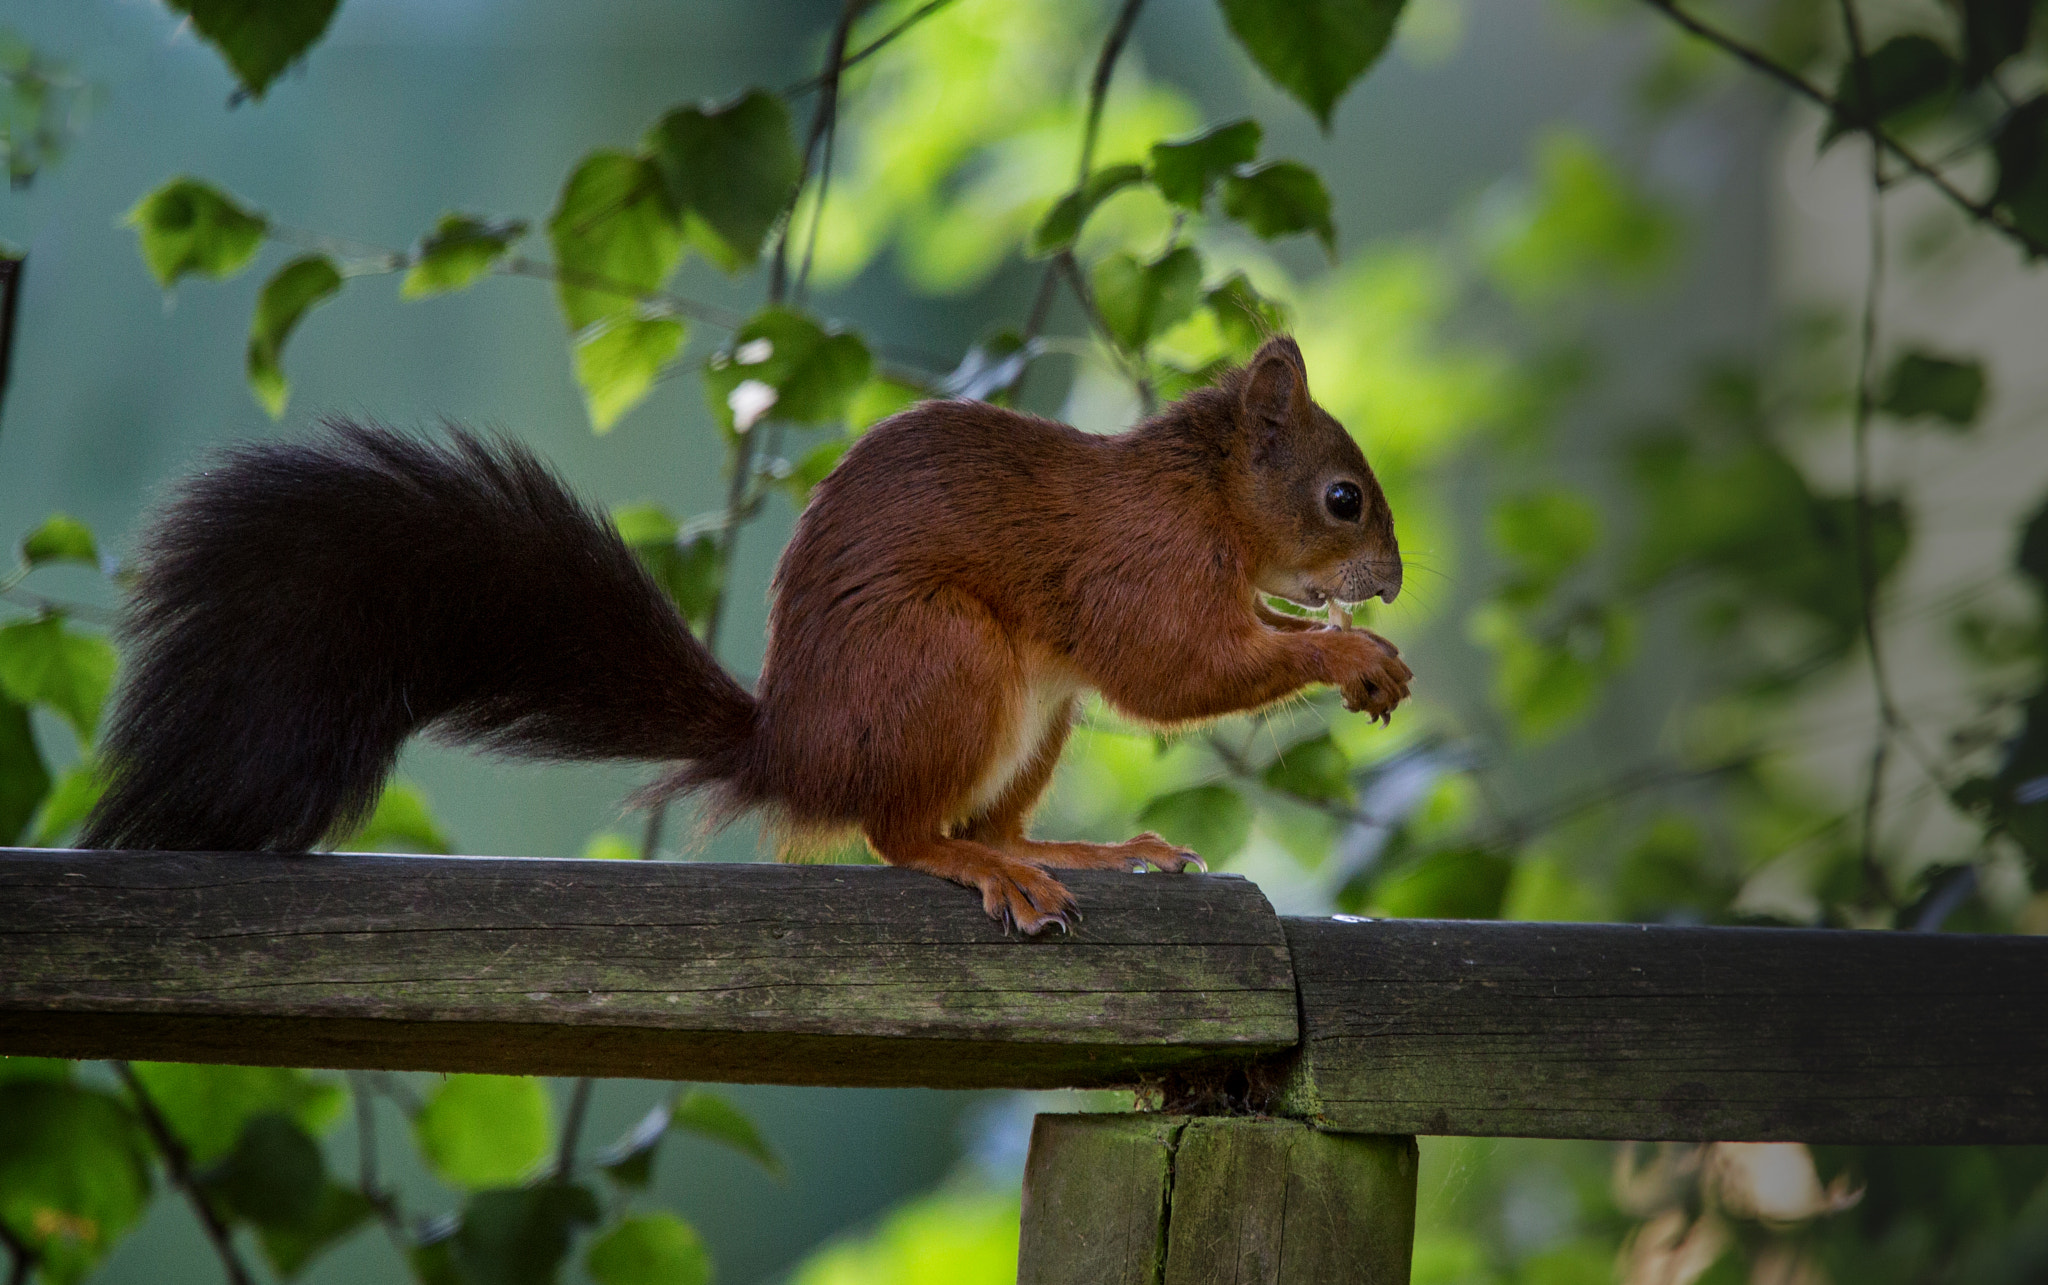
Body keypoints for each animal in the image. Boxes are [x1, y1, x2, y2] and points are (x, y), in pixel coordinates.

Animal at [88, 336, 1417, 930]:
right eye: (1342, 497)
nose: (1393, 586)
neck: (1201, 493)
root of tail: (793, 748)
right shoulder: (1139, 568)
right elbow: (1172, 670)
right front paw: (1345, 654)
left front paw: (1363, 652)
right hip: (950, 662)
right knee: (901, 834)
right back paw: (987, 869)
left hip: (1031, 715)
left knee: (978, 817)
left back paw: (1079, 853)